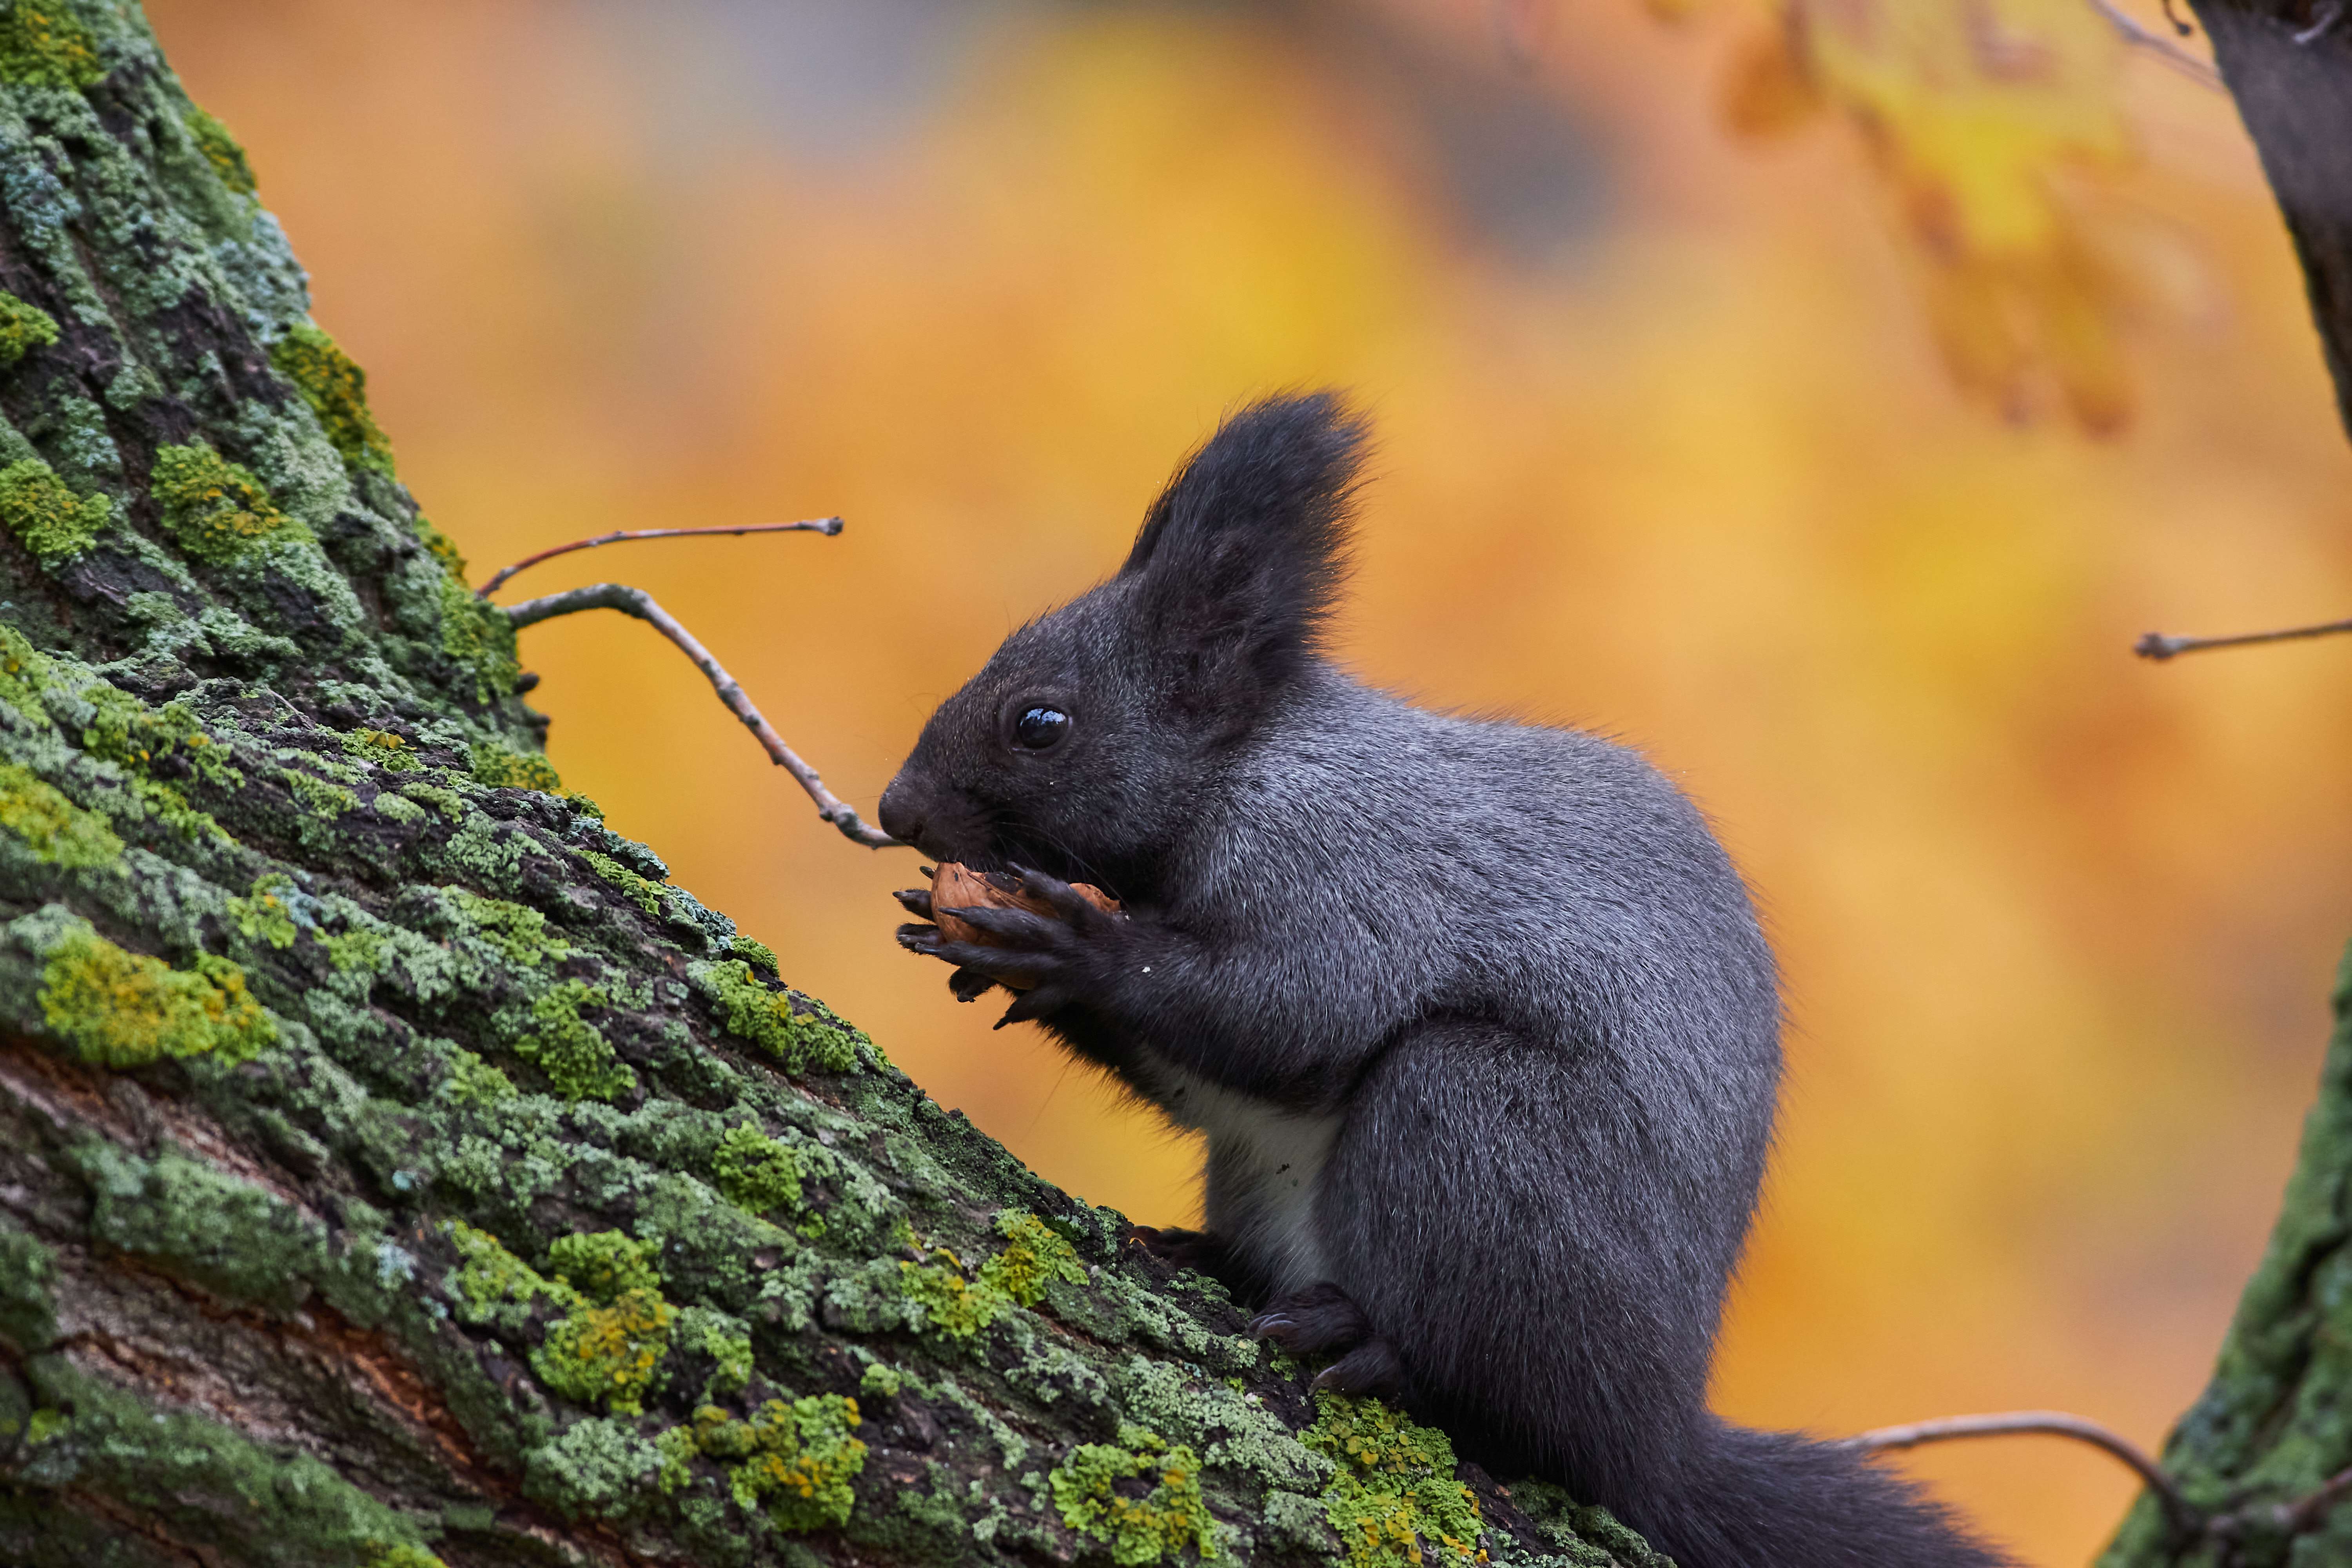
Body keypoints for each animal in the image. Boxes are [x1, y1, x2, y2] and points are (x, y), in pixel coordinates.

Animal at [880, 395, 2004, 1568]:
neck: (1245, 771)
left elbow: (1291, 1016)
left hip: (1478, 1128)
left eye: (1040, 723)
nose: (895, 808)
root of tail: (1654, 1432)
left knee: (1513, 1407)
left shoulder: (1348, 873)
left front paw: (1071, 951)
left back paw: (1378, 1348)